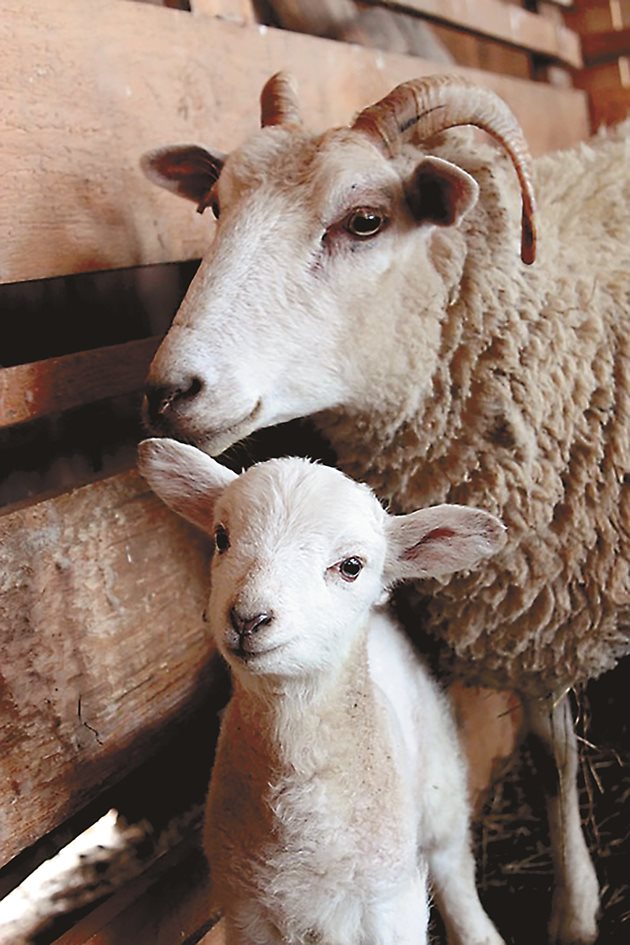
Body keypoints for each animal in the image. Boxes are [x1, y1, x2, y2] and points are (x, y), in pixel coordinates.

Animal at [137, 438, 508, 944]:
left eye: (351, 566)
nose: (248, 618)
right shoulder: (248, 911)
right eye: (221, 537)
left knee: (453, 862)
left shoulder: (391, 905)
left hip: (438, 779)